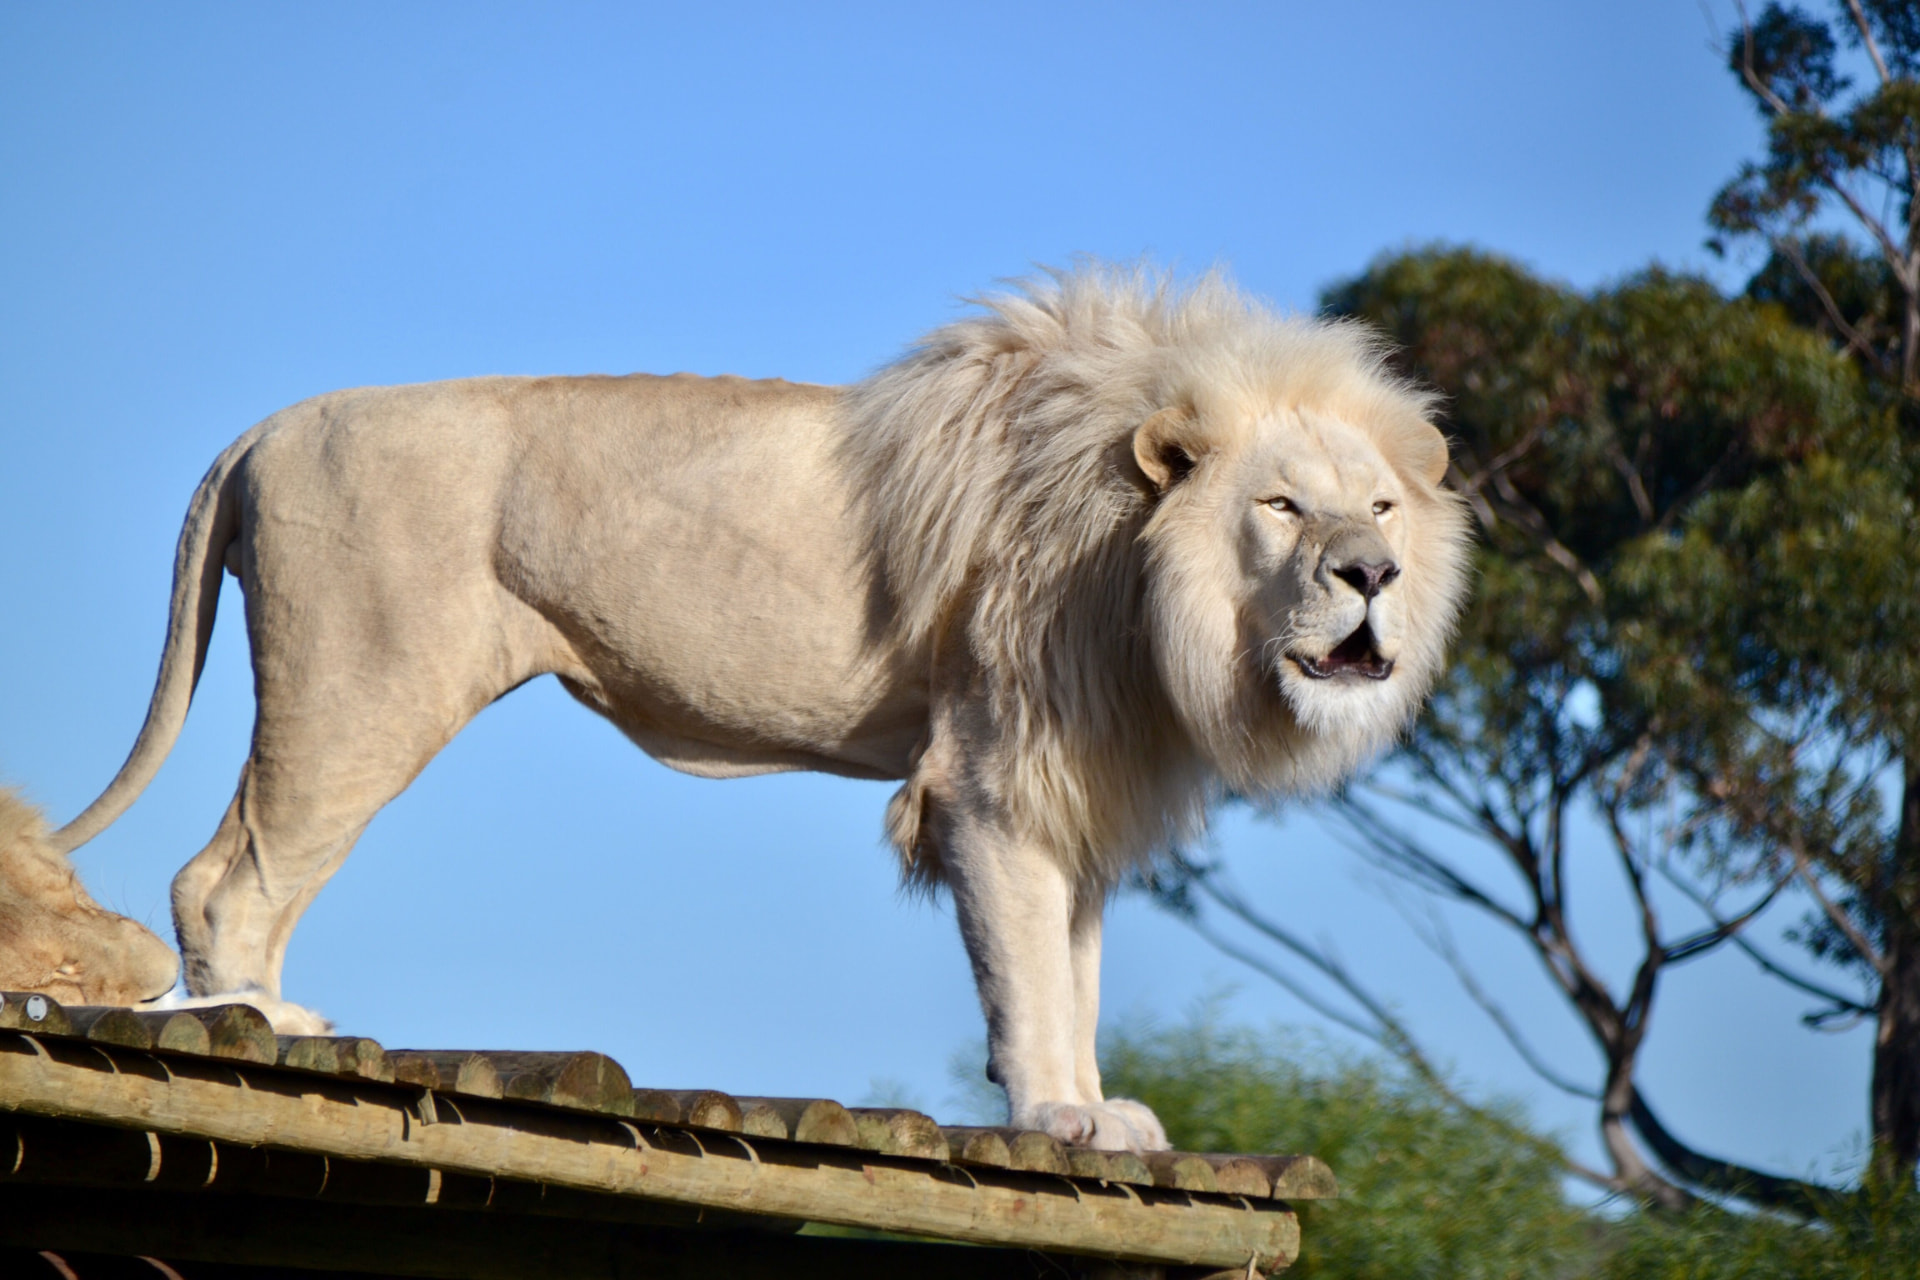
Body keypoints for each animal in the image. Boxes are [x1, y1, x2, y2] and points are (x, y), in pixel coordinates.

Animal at [51, 263, 1469, 1151]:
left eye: (1380, 507)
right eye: (1281, 505)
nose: (1372, 576)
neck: (1141, 577)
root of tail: (264, 430)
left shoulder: (1071, 784)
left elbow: (1075, 970)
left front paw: (1099, 1113)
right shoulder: (990, 781)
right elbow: (1028, 974)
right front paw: (1052, 1117)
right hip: (363, 683)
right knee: (226, 876)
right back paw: (265, 1028)